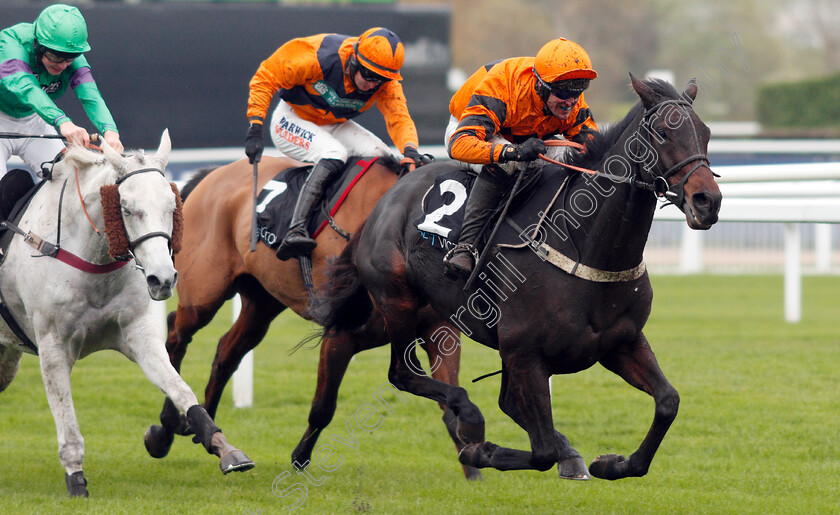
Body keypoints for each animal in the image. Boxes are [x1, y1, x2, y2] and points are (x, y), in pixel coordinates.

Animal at [0, 131, 253, 498]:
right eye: (128, 209)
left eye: (172, 207)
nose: (163, 278)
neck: (92, 261)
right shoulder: (53, 345)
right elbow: (67, 420)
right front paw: (76, 479)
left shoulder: (138, 334)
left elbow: (181, 390)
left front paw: (223, 447)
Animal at [141, 153, 476, 480]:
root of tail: (213, 173)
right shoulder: (342, 332)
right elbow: (323, 407)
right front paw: (300, 459)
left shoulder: (439, 330)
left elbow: (449, 405)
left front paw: (473, 467)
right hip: (204, 293)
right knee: (176, 336)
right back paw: (166, 428)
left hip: (261, 302)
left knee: (227, 350)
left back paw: (202, 427)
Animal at [316, 75, 720, 480]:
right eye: (664, 133)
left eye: (706, 133)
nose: (707, 201)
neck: (583, 247)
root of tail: (389, 196)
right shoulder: (525, 354)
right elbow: (541, 451)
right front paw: (481, 452)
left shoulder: (622, 342)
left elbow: (668, 402)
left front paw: (611, 462)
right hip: (396, 300)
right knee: (402, 373)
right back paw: (468, 416)